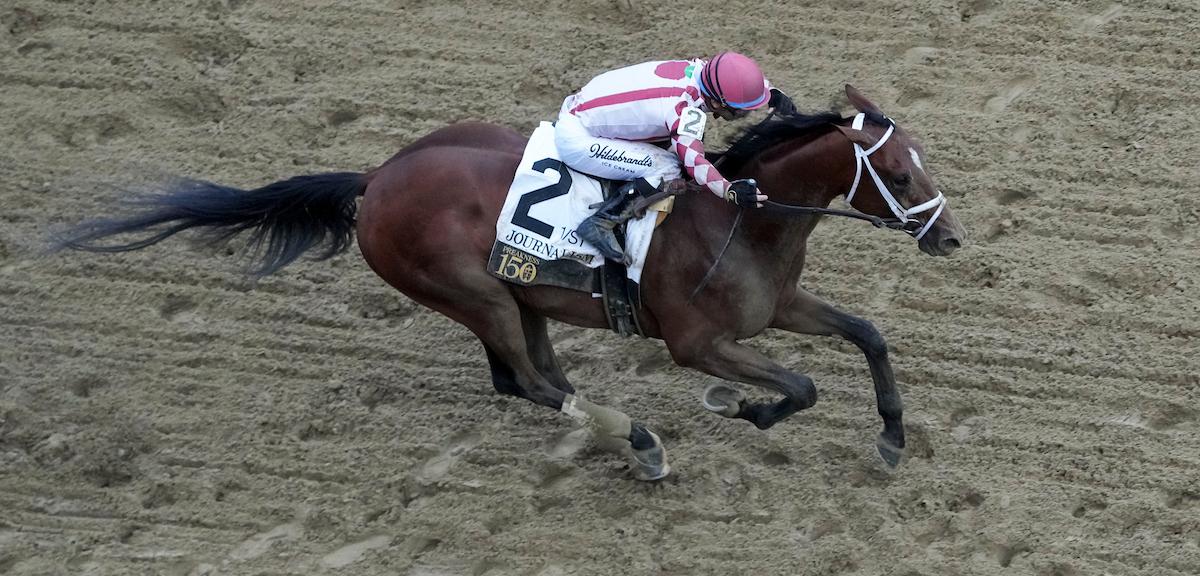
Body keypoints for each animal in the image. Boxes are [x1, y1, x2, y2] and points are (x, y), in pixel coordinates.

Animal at [57, 85, 966, 481]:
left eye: (921, 159)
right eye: (895, 170)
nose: (951, 236)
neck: (741, 217)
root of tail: (375, 178)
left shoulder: (777, 306)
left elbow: (868, 335)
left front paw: (891, 437)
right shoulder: (698, 342)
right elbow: (801, 387)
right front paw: (739, 407)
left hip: (523, 292)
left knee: (534, 376)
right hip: (475, 294)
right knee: (527, 381)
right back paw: (637, 441)